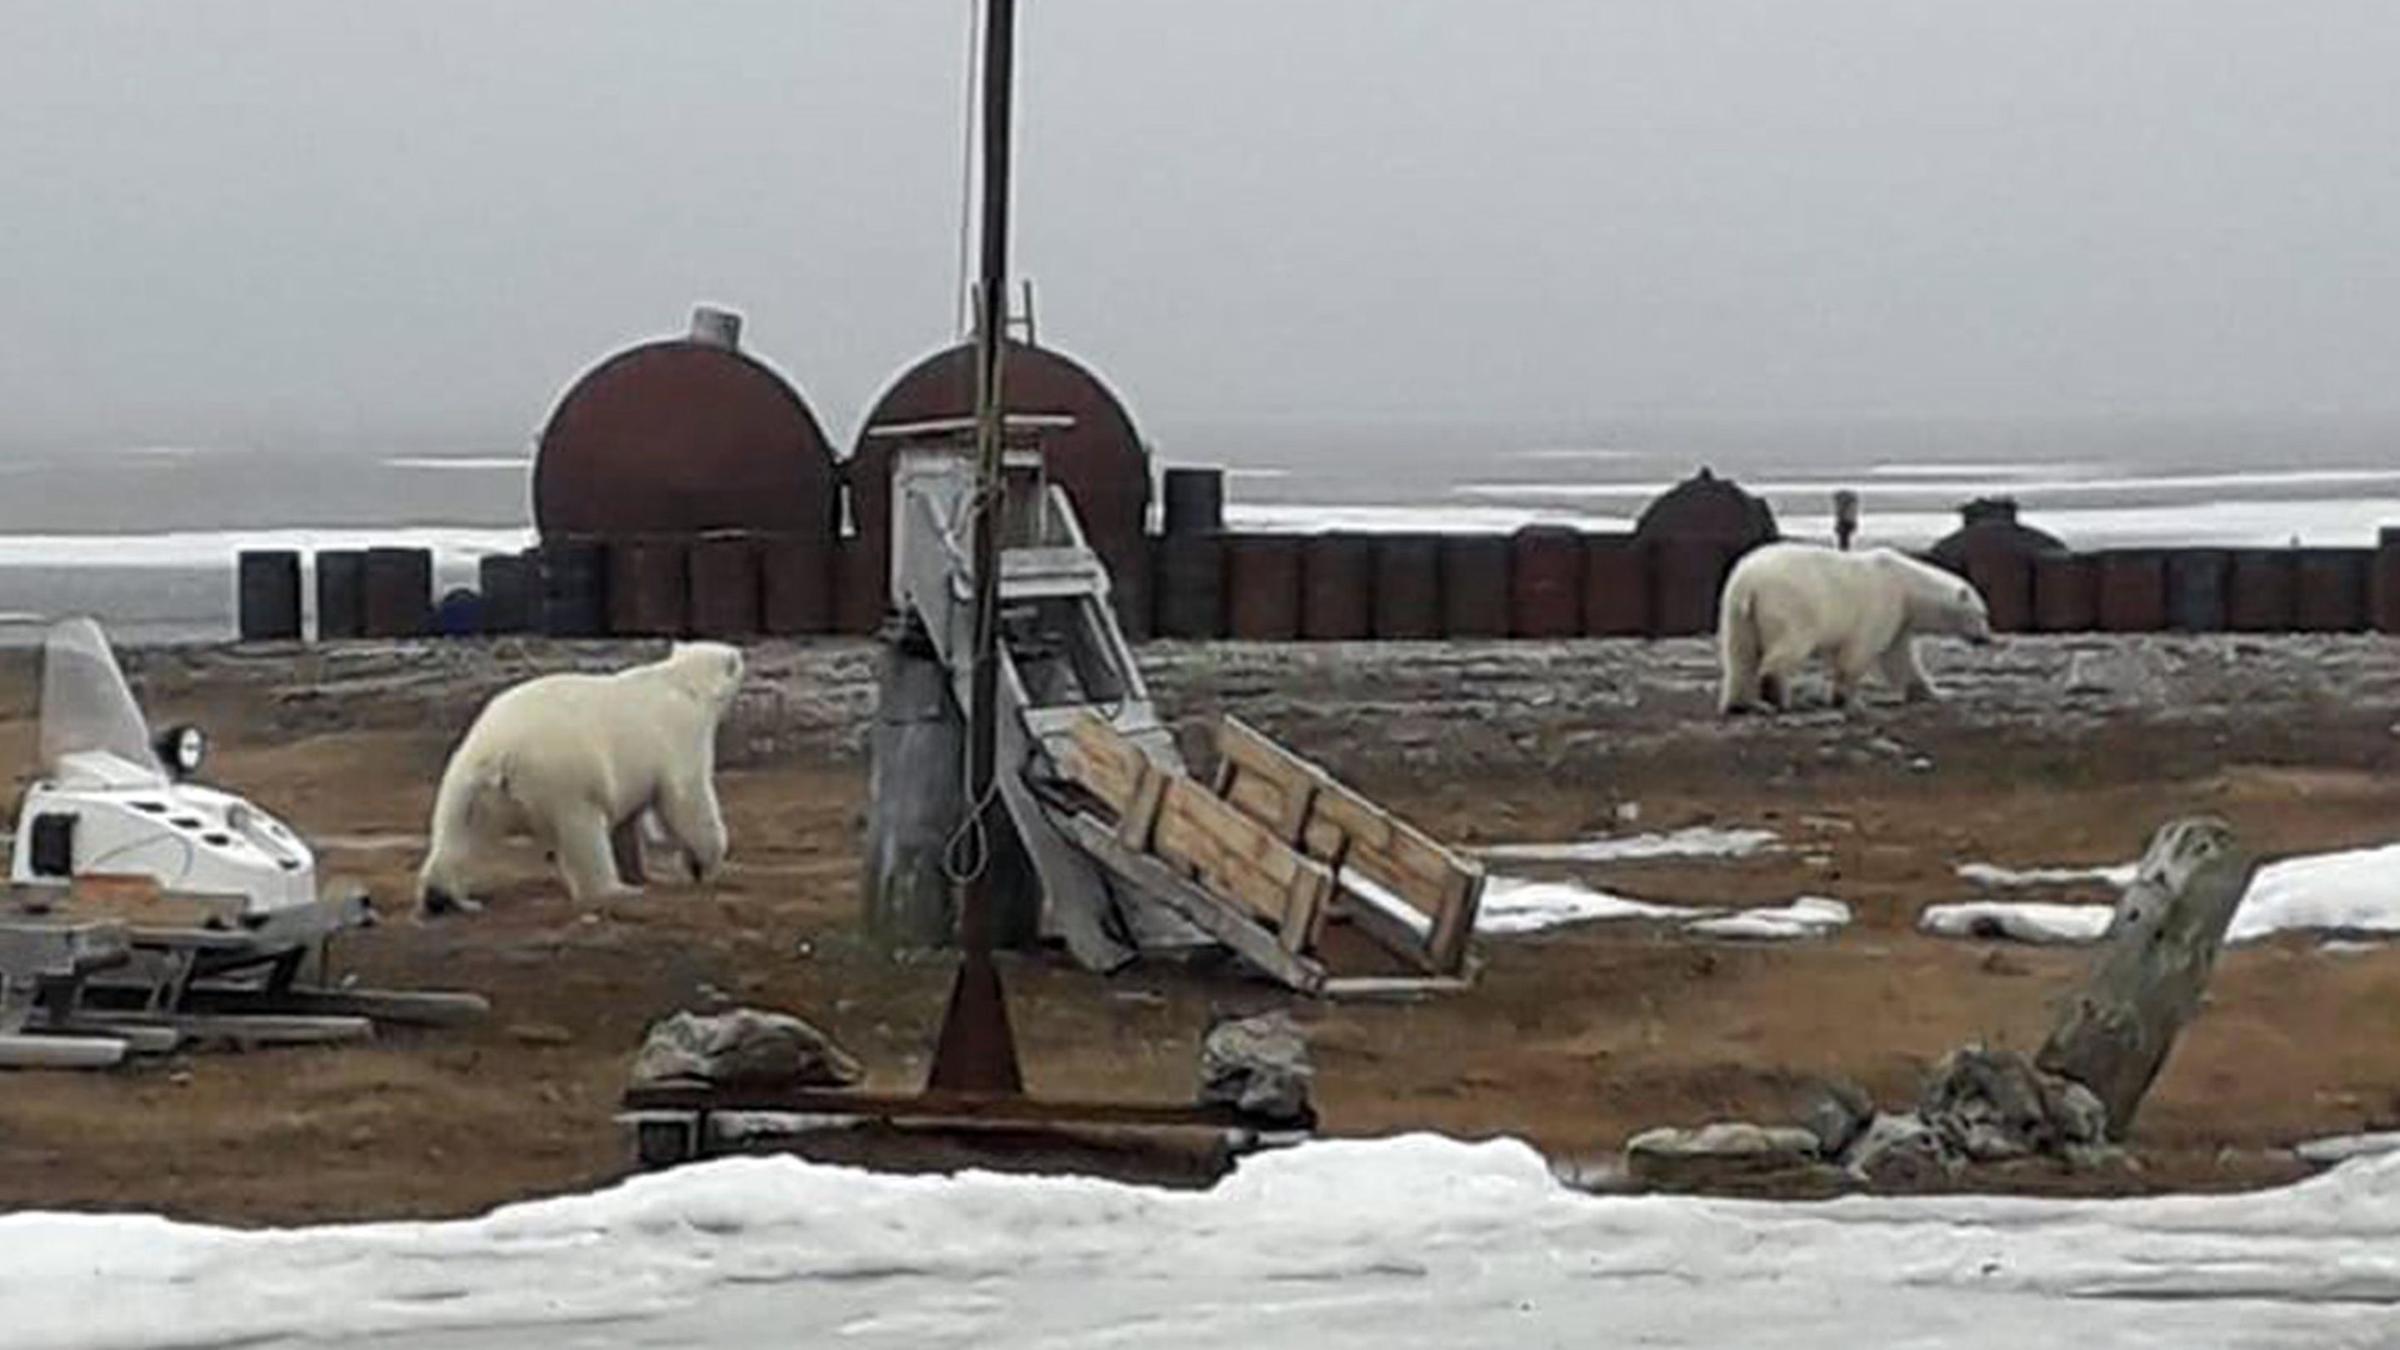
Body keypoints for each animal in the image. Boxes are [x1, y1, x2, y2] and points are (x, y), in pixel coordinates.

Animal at [417, 638, 744, 912]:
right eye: (737, 661)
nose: (742, 656)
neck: (684, 683)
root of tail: (498, 752)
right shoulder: (679, 733)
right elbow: (687, 798)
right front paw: (702, 864)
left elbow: (629, 817)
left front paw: (639, 872)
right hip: (564, 776)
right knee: (583, 833)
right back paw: (614, 890)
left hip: (468, 781)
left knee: (460, 831)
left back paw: (443, 897)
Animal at [1718, 540, 1996, 715]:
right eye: (1982, 614)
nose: (1986, 638)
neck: (1907, 585)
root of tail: (1749, 583)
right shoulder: (1883, 604)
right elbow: (1861, 650)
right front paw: (1849, 700)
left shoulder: (1899, 617)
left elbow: (1900, 658)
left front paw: (1937, 692)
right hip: (1791, 605)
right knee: (1789, 645)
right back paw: (1778, 699)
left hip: (1735, 610)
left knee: (1739, 654)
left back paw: (1741, 704)